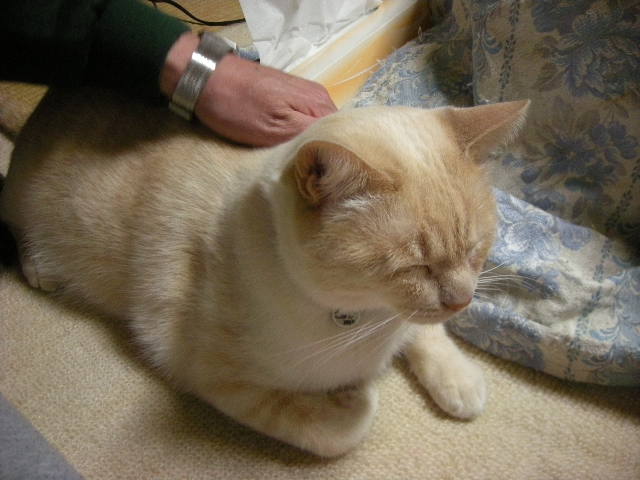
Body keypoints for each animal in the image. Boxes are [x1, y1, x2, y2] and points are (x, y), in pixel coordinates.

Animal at [0, 88, 528, 457]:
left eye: (476, 250)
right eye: (415, 267)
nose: (462, 301)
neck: (366, 319)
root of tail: (53, 98)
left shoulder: (412, 319)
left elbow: (426, 334)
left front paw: (461, 382)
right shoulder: (218, 380)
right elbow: (340, 430)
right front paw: (355, 398)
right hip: (28, 208)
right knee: (17, 229)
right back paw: (41, 268)